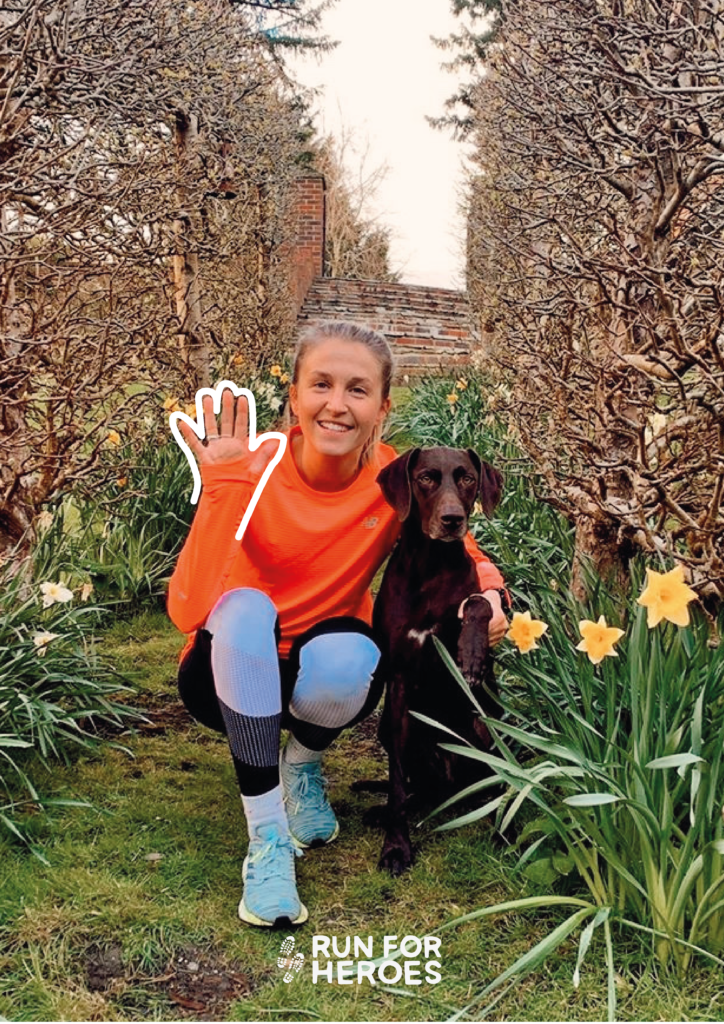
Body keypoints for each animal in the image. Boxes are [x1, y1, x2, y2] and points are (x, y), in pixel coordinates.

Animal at [370, 444, 501, 876]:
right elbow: (396, 784)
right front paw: (396, 848)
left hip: (488, 722)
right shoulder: (397, 684)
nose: (453, 520)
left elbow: (478, 601)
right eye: (426, 477)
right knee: (413, 789)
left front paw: (471, 653)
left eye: (467, 478)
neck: (430, 566)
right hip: (394, 730)